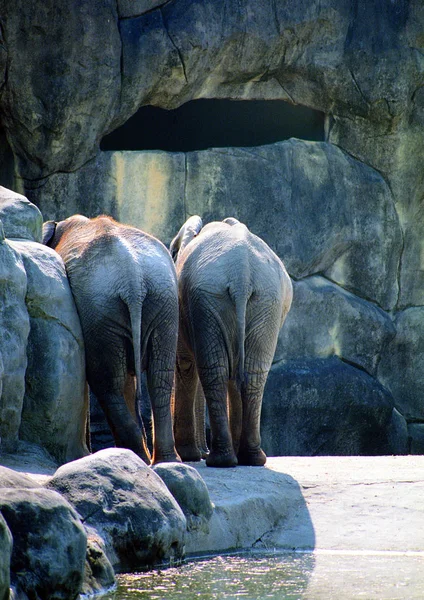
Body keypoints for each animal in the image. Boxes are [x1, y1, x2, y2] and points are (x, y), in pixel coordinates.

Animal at [43, 213, 181, 466]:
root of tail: (133, 277)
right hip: (162, 300)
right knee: (160, 377)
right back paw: (164, 460)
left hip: (100, 308)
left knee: (106, 383)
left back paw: (137, 455)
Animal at [168, 216, 292, 468]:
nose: (202, 450)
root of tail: (241, 273)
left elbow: (185, 364)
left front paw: (189, 456)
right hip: (258, 301)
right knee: (251, 373)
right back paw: (245, 458)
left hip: (229, 298)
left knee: (217, 370)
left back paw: (222, 459)